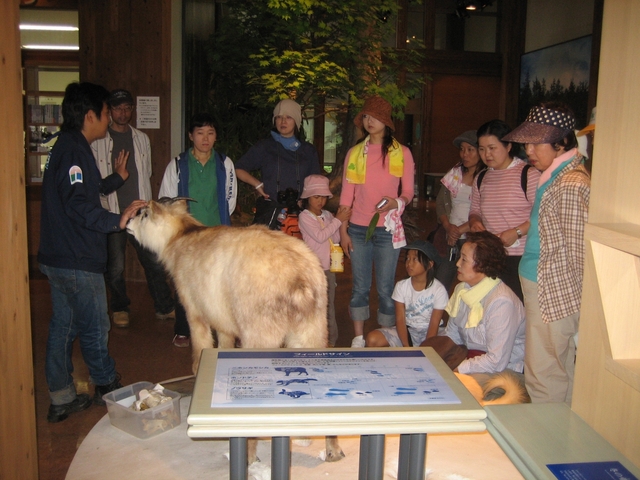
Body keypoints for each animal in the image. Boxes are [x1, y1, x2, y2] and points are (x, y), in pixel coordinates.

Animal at [126, 197, 344, 464]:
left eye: (144, 214)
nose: (127, 224)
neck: (180, 236)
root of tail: (299, 280)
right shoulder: (224, 322)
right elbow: (223, 347)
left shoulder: (195, 312)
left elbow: (199, 350)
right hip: (312, 329)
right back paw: (330, 449)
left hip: (260, 335)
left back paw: (247, 454)